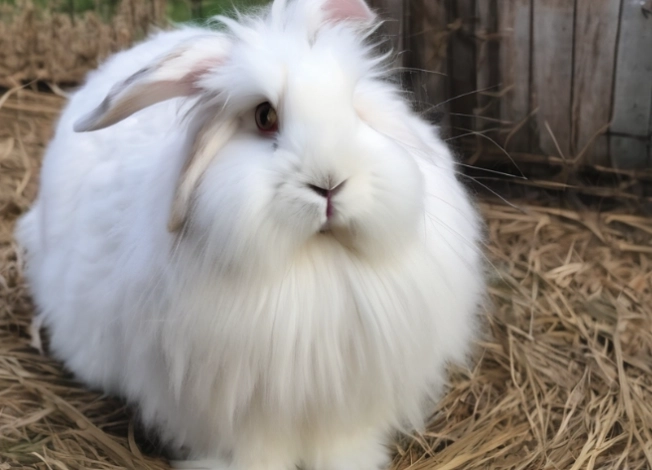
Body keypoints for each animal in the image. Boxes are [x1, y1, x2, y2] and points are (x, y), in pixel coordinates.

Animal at [15, 0, 486, 468]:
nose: (330, 183)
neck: (313, 258)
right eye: (265, 117)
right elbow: (252, 448)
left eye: (353, 107)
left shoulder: (347, 401)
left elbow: (342, 442)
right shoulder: (232, 410)